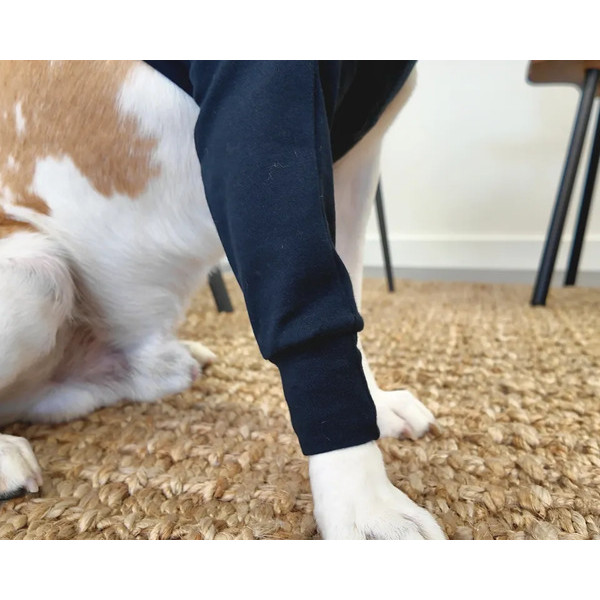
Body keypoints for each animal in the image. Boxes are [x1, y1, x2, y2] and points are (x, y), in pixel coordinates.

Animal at [0, 60, 445, 539]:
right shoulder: (263, 127)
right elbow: (313, 309)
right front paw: (366, 506)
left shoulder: (354, 160)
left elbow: (350, 300)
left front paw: (376, 406)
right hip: (38, 271)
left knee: (44, 396)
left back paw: (160, 368)